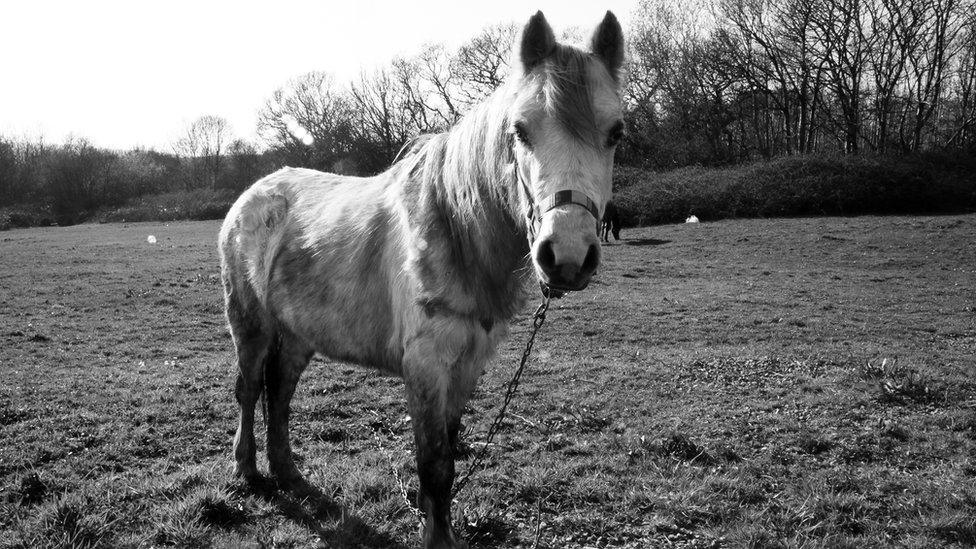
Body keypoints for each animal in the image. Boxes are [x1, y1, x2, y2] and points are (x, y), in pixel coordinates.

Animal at [217, 9, 620, 548]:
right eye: (520, 130)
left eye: (616, 132)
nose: (568, 256)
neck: (454, 229)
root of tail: (252, 195)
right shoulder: (426, 365)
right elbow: (433, 463)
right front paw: (436, 537)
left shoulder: (467, 364)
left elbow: (447, 454)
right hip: (251, 325)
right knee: (249, 390)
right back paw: (247, 470)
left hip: (299, 333)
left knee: (279, 393)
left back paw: (288, 473)